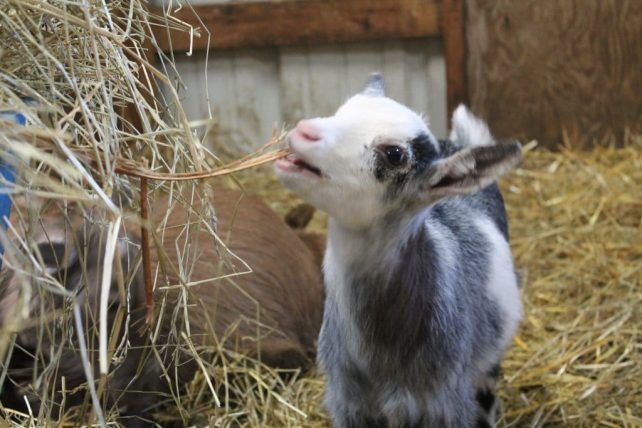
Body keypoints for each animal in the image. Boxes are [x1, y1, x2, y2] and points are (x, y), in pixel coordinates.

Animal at [275, 74, 523, 427]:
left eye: (394, 154)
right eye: (342, 110)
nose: (303, 131)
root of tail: (459, 143)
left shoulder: (443, 404)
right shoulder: (349, 403)